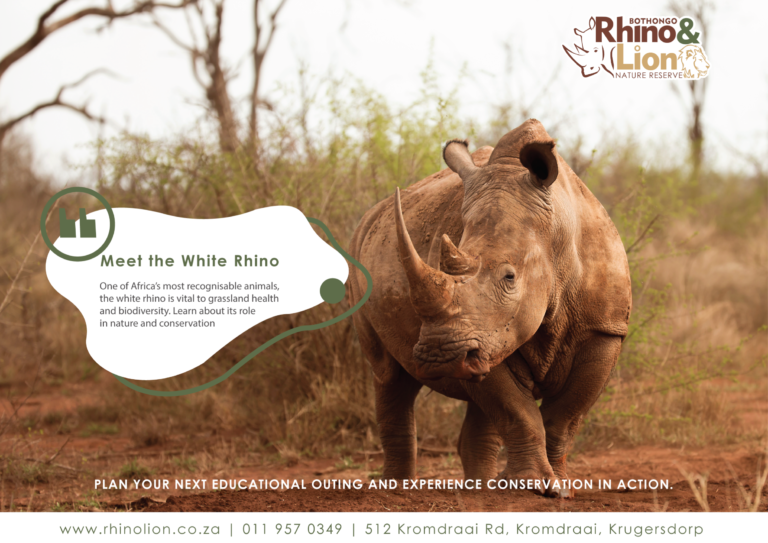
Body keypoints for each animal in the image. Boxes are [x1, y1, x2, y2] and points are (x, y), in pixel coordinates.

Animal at [348, 119, 631, 497]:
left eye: (509, 277)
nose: (439, 356)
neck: (556, 234)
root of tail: (371, 216)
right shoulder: (482, 334)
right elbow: (519, 411)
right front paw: (533, 486)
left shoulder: (604, 328)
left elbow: (565, 416)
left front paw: (559, 490)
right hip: (358, 252)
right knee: (388, 375)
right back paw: (399, 489)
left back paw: (480, 489)